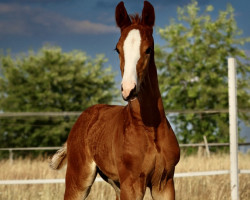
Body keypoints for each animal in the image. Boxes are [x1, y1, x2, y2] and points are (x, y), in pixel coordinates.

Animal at [50, 1, 180, 200]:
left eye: (148, 49)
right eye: (117, 49)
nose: (128, 89)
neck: (149, 129)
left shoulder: (164, 183)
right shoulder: (132, 184)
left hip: (115, 183)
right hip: (79, 178)